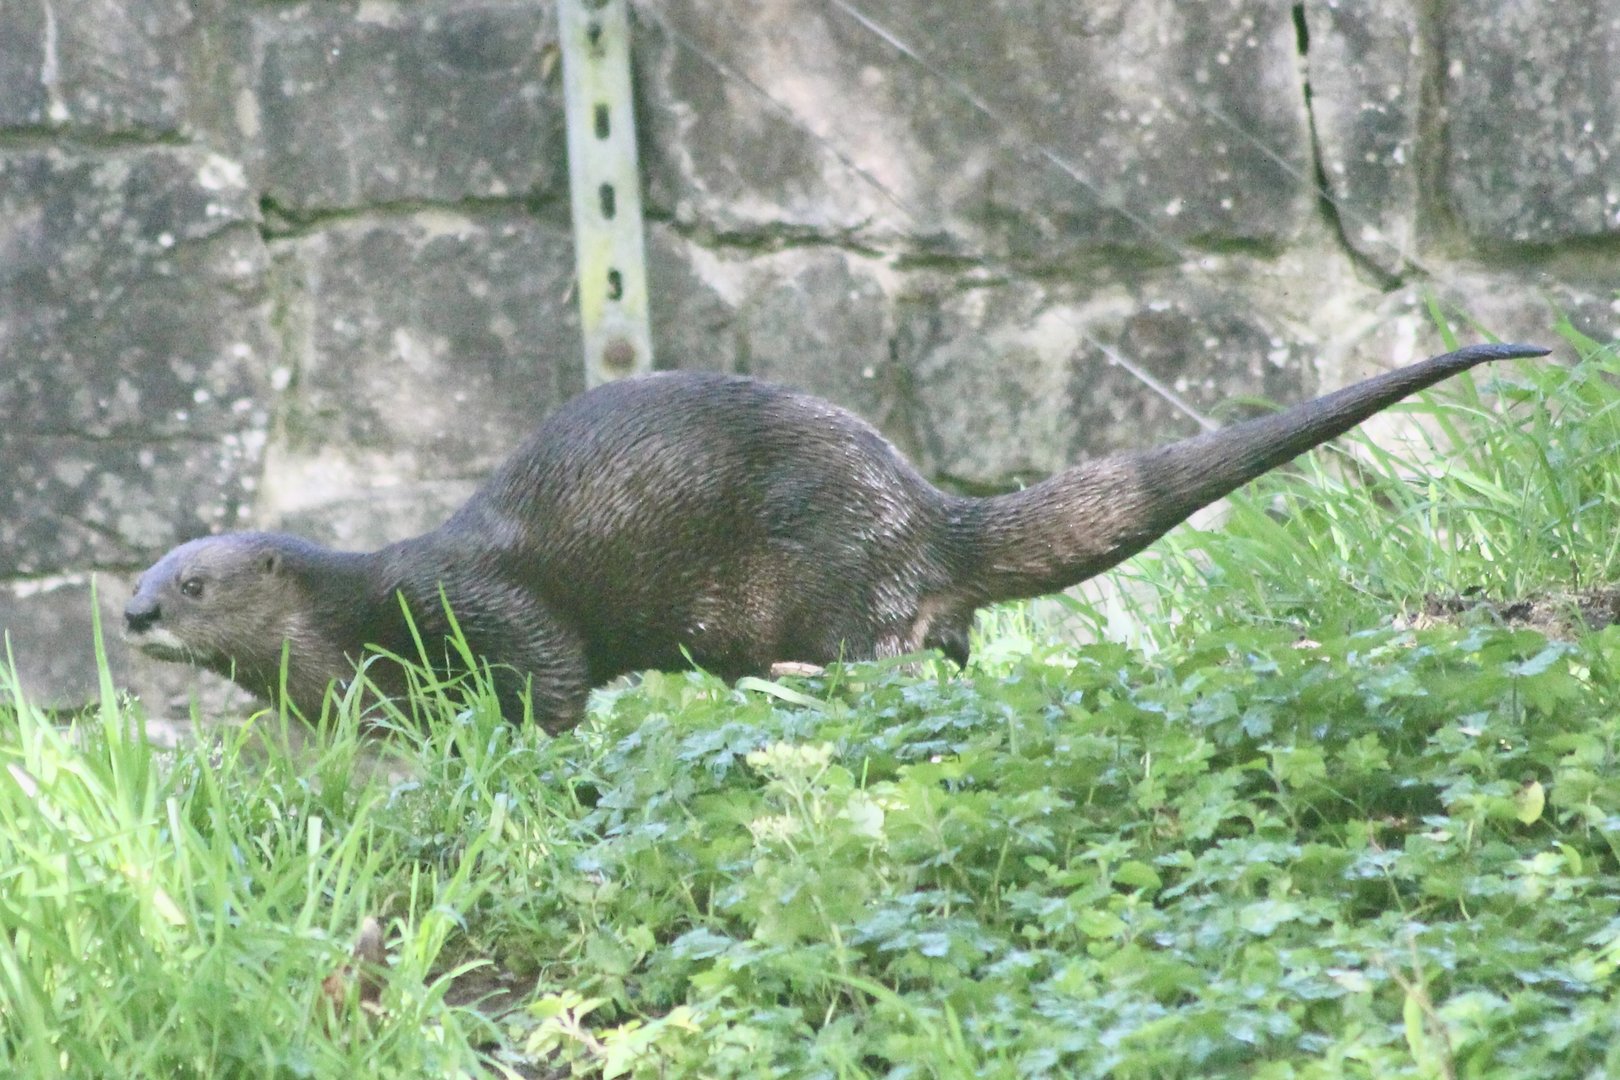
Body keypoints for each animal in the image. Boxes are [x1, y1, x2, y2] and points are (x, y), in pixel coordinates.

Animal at [126, 341, 1548, 731]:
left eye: (191, 583)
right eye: (142, 576)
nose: (134, 614)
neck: (346, 627)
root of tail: (923, 503)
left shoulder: (471, 600)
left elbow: (552, 673)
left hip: (839, 557)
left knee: (897, 649)